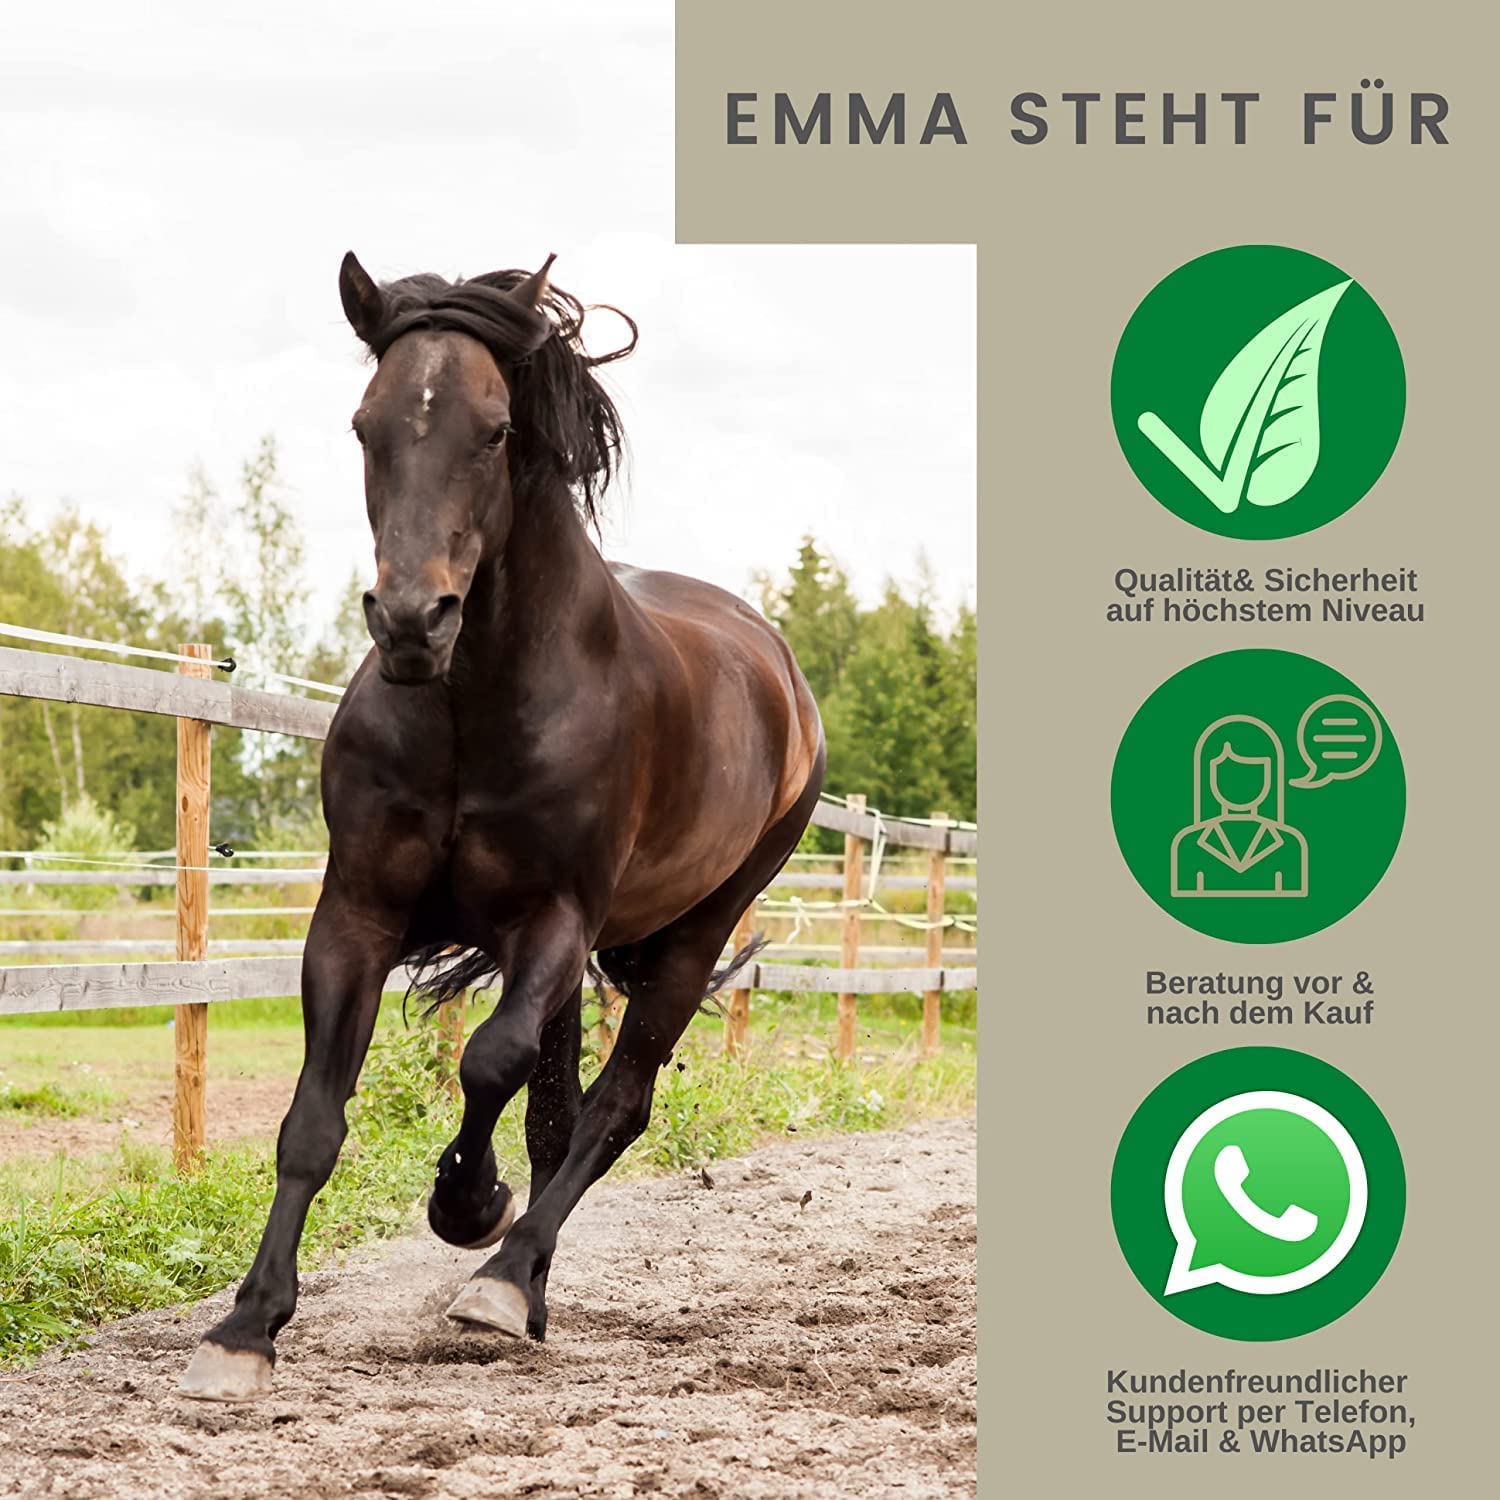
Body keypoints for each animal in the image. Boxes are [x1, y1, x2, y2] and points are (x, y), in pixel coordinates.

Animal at [177, 253, 825, 1401]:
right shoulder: (357, 912)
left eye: (493, 431)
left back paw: (503, 1279)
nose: (409, 621)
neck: (478, 703)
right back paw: (529, 1288)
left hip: (696, 933)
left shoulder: (555, 920)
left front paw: (466, 1206)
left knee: (614, 1106)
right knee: (557, 1116)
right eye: (366, 426)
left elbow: (487, 1062)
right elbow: (314, 1118)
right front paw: (246, 1327)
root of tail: (780, 670)